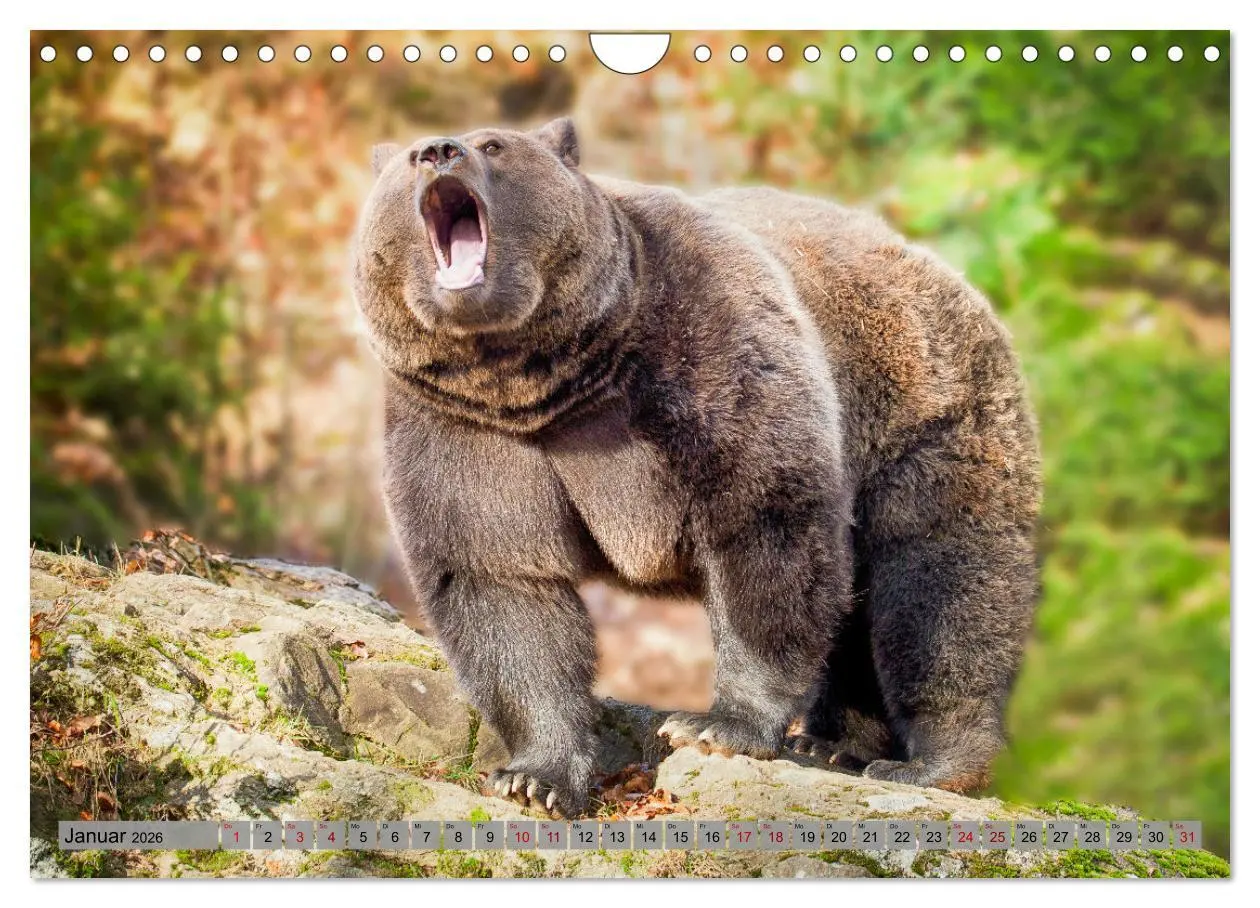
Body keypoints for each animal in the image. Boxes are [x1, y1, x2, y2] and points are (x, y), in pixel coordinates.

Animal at [352, 117, 1041, 817]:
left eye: (494, 144)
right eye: (409, 158)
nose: (440, 151)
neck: (547, 381)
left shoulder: (700, 350)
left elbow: (761, 522)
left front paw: (714, 725)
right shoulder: (463, 428)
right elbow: (502, 580)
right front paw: (535, 776)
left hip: (922, 416)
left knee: (940, 585)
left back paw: (933, 762)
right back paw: (835, 742)